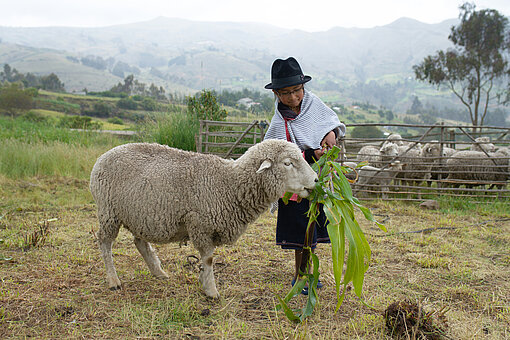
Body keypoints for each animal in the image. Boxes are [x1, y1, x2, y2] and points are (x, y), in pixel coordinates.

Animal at [89, 139, 316, 298]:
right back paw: (113, 280)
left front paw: (202, 280)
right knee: (104, 242)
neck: (228, 184)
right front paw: (211, 290)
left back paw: (158, 272)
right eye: (287, 163)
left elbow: (205, 261)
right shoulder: (200, 225)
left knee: (140, 242)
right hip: (109, 212)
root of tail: (103, 156)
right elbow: (208, 258)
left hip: (141, 215)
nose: (315, 180)